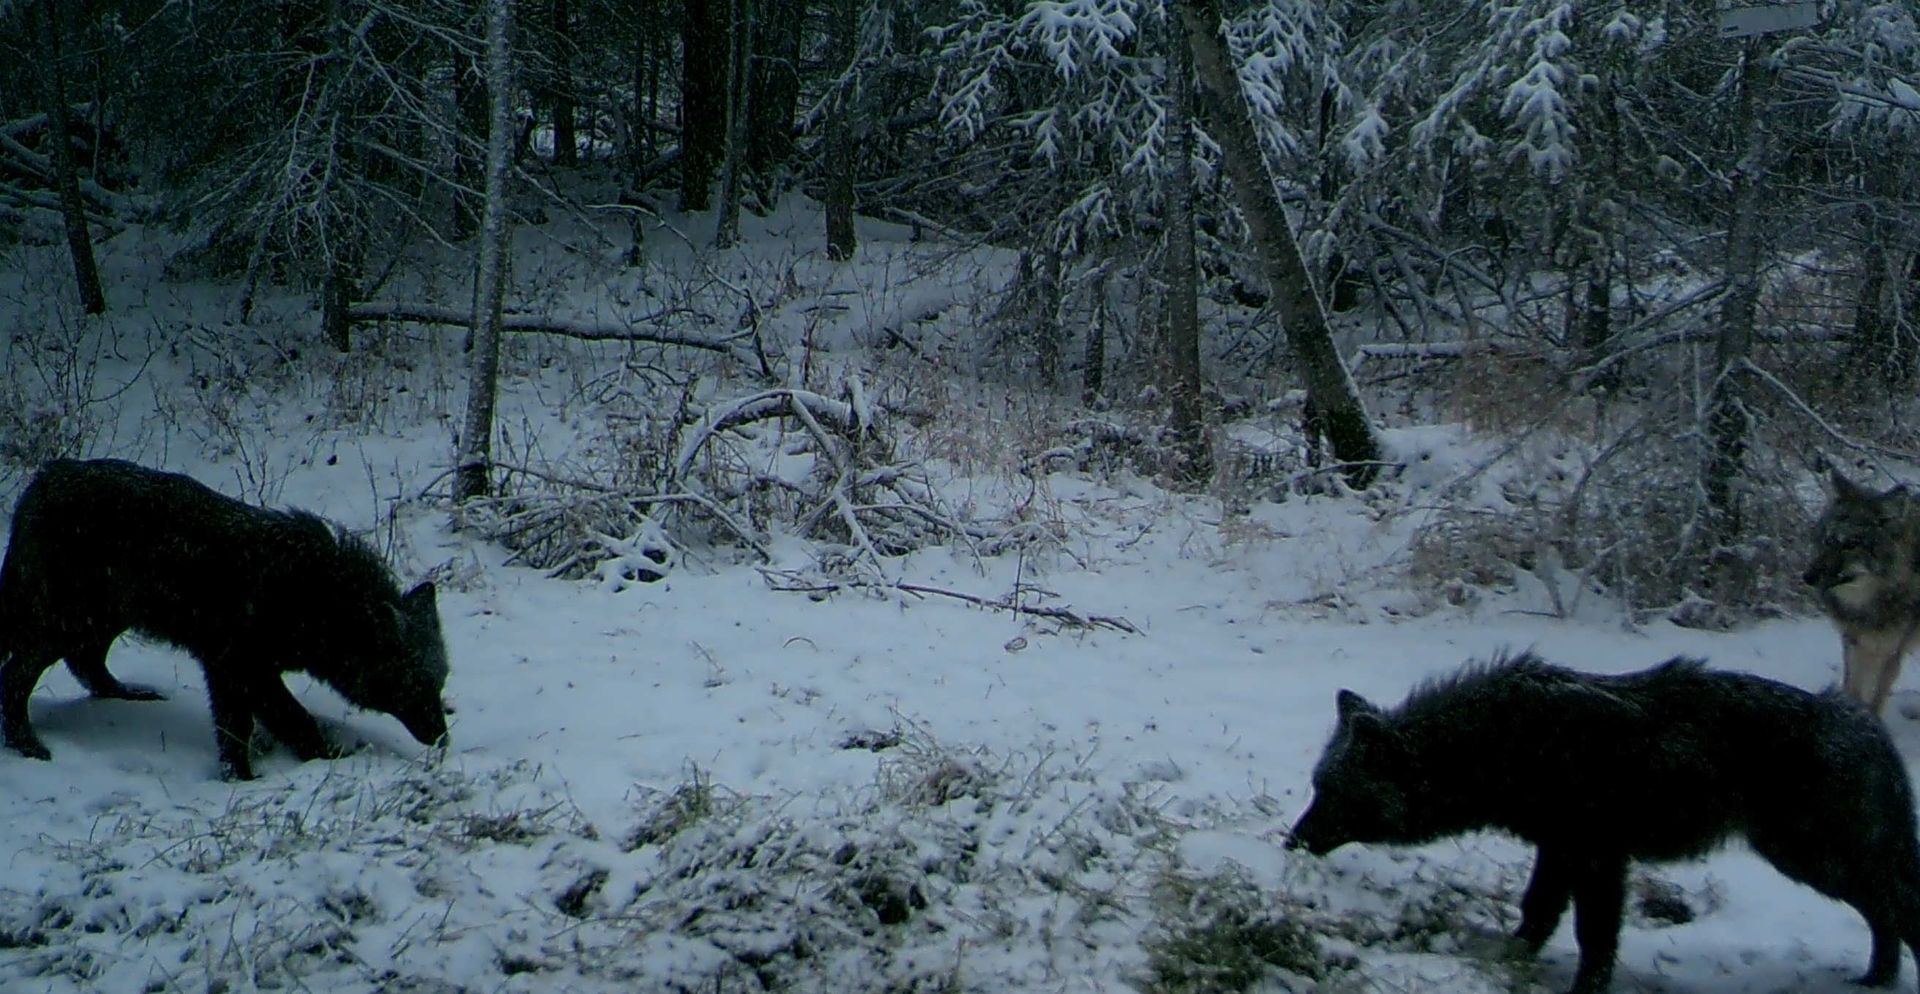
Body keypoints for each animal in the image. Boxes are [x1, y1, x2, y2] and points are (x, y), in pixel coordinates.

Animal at [0, 458, 451, 780]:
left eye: (439, 682)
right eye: (414, 685)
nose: (442, 738)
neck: (313, 599)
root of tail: (40, 482)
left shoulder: (238, 672)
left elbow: (258, 724)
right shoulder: (239, 669)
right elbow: (279, 722)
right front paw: (275, 770)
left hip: (100, 622)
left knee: (87, 665)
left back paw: (129, 694)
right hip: (63, 626)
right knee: (15, 677)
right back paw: (29, 747)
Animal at [1289, 651, 1920, 994]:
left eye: (1332, 792)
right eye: (1317, 787)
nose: (1290, 842)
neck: (1501, 744)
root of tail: (1866, 727)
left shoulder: (1598, 857)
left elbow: (1592, 936)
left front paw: (1584, 988)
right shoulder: (1560, 850)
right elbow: (1537, 912)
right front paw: (1511, 958)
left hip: (1816, 861)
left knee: (1895, 911)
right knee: (1887, 918)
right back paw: (1878, 980)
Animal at [1806, 466, 1920, 716]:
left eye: (1851, 544)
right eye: (1828, 539)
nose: (1807, 578)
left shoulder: (1890, 651)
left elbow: (1876, 697)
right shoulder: (1855, 642)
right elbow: (1854, 688)